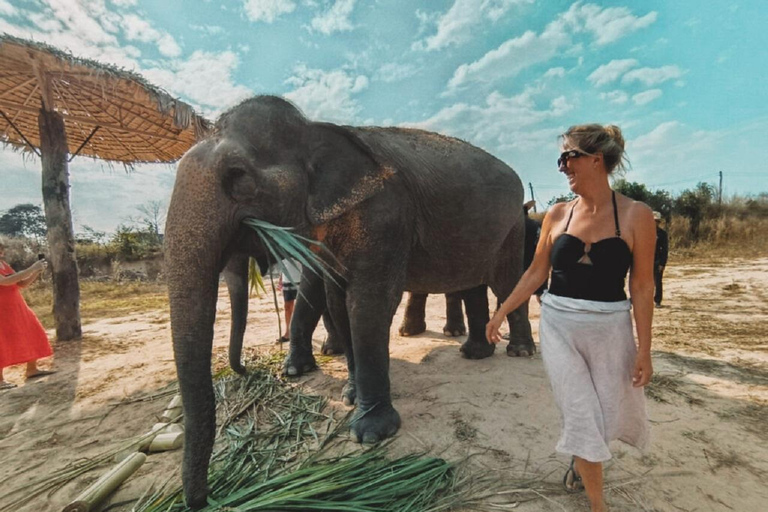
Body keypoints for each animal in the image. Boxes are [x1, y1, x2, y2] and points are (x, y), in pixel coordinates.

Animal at [164, 96, 532, 508]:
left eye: (237, 175)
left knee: (506, 283)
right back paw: (474, 353)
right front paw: (349, 396)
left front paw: (370, 433)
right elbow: (338, 300)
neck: (315, 129)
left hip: (514, 226)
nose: (203, 501)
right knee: (472, 285)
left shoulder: (384, 216)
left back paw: (518, 351)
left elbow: (368, 303)